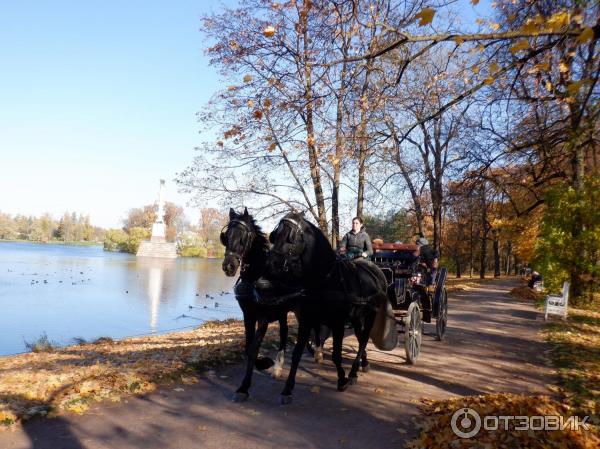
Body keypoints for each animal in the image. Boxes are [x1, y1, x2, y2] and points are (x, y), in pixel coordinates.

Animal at [220, 208, 296, 400]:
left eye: (243, 237)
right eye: (226, 236)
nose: (229, 266)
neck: (257, 276)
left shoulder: (263, 318)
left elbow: (254, 348)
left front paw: (244, 387)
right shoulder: (248, 315)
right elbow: (248, 347)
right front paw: (264, 363)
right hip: (283, 312)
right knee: (284, 332)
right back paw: (278, 367)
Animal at [264, 211, 390, 402]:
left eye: (290, 236)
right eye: (275, 234)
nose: (270, 265)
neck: (326, 279)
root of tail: (377, 271)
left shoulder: (337, 324)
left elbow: (337, 355)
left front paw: (342, 379)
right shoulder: (307, 320)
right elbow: (297, 353)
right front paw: (287, 389)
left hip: (371, 315)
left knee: (364, 340)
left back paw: (353, 373)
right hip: (357, 317)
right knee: (360, 337)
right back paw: (364, 364)